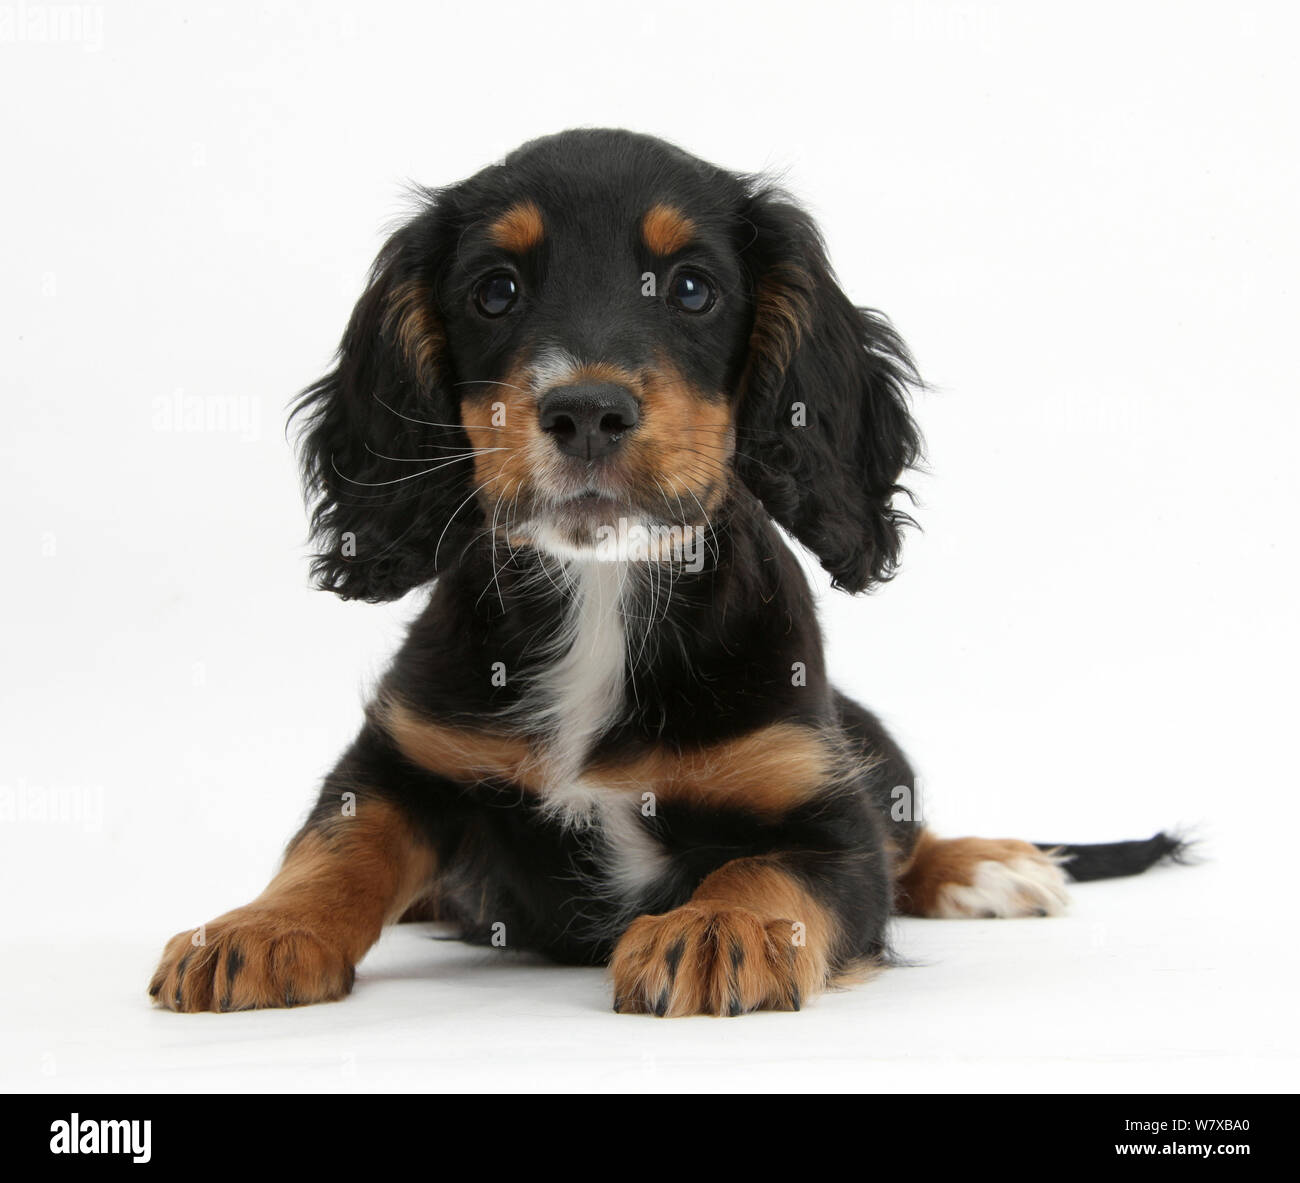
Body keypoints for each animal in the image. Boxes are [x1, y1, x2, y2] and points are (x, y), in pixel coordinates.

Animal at [147, 131, 1185, 1019]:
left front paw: (716, 928)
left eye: (691, 288)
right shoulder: (402, 754)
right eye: (495, 291)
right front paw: (256, 930)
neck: (604, 590)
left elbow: (774, 870)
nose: (585, 412)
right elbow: (336, 845)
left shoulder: (820, 808)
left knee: (910, 839)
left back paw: (994, 865)